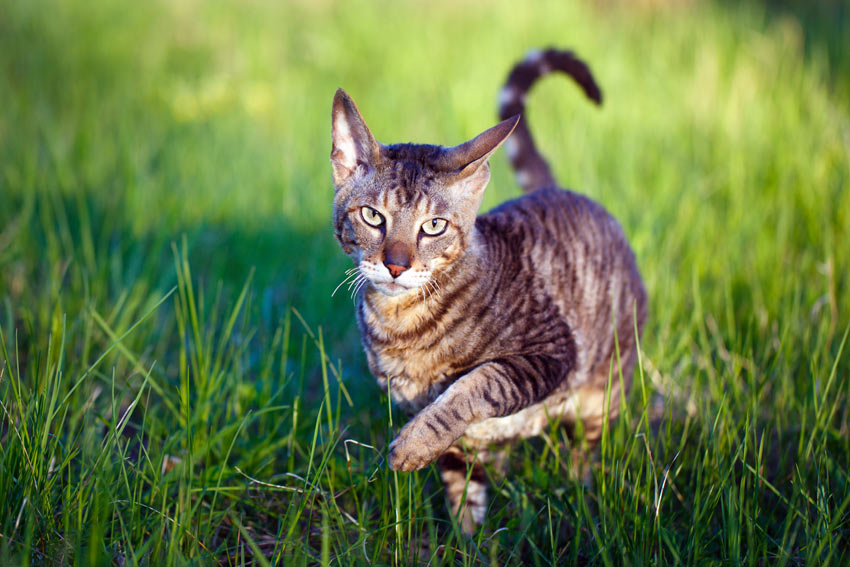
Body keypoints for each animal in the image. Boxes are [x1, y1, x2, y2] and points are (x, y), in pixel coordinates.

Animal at [328, 47, 644, 532]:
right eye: (372, 217)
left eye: (433, 226)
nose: (396, 264)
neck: (403, 324)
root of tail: (558, 189)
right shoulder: (457, 444)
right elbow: (462, 486)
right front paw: (469, 536)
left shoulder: (552, 350)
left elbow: (477, 384)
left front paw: (412, 445)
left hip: (605, 388)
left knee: (586, 449)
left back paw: (581, 494)